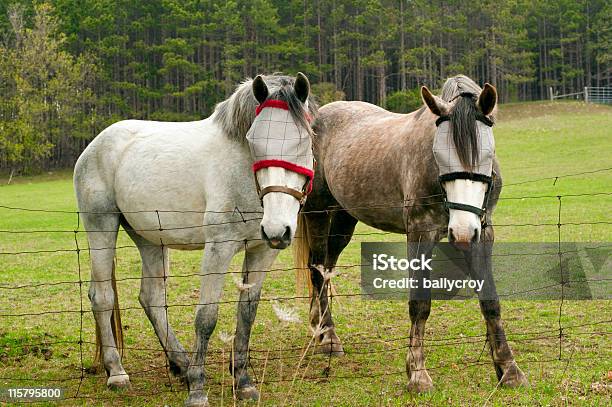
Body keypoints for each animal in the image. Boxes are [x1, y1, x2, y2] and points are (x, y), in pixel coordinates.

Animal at [73, 74, 316, 407]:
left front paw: (243, 381)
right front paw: (198, 389)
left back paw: (181, 364)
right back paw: (118, 372)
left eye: (303, 141)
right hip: (101, 227)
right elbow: (206, 317)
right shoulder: (218, 249)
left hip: (150, 239)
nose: (277, 228)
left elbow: (246, 314)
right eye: (253, 142)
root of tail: (95, 145)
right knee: (101, 297)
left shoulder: (261, 251)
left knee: (151, 298)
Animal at [294, 75, 528, 392]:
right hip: (317, 211)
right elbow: (420, 304)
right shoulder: (420, 234)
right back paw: (328, 337)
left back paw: (318, 327)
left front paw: (508, 368)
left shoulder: (483, 234)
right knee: (317, 270)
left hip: (344, 217)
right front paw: (417, 373)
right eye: (438, 154)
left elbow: (490, 301)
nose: (462, 232)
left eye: (488, 153)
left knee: (327, 268)